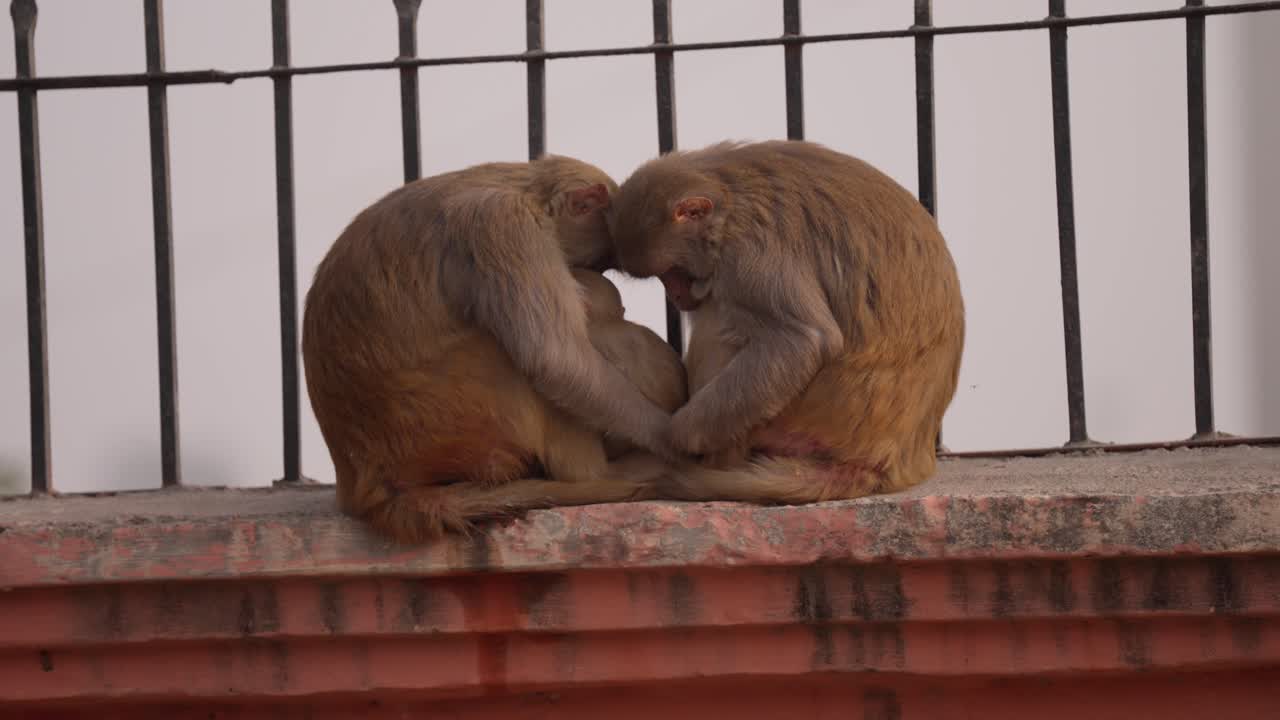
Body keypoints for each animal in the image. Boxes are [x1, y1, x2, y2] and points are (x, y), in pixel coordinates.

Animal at [301, 155, 687, 544]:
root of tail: (369, 486)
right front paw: (669, 440)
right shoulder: (506, 225)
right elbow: (555, 360)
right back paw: (594, 474)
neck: (523, 190)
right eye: (597, 262)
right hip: (465, 423)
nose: (587, 273)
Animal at [607, 139, 965, 504]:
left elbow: (803, 339)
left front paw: (673, 437)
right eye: (665, 277)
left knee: (720, 319)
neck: (728, 198)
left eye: (673, 272)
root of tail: (888, 461)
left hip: (803, 420)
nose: (677, 296)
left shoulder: (748, 250)